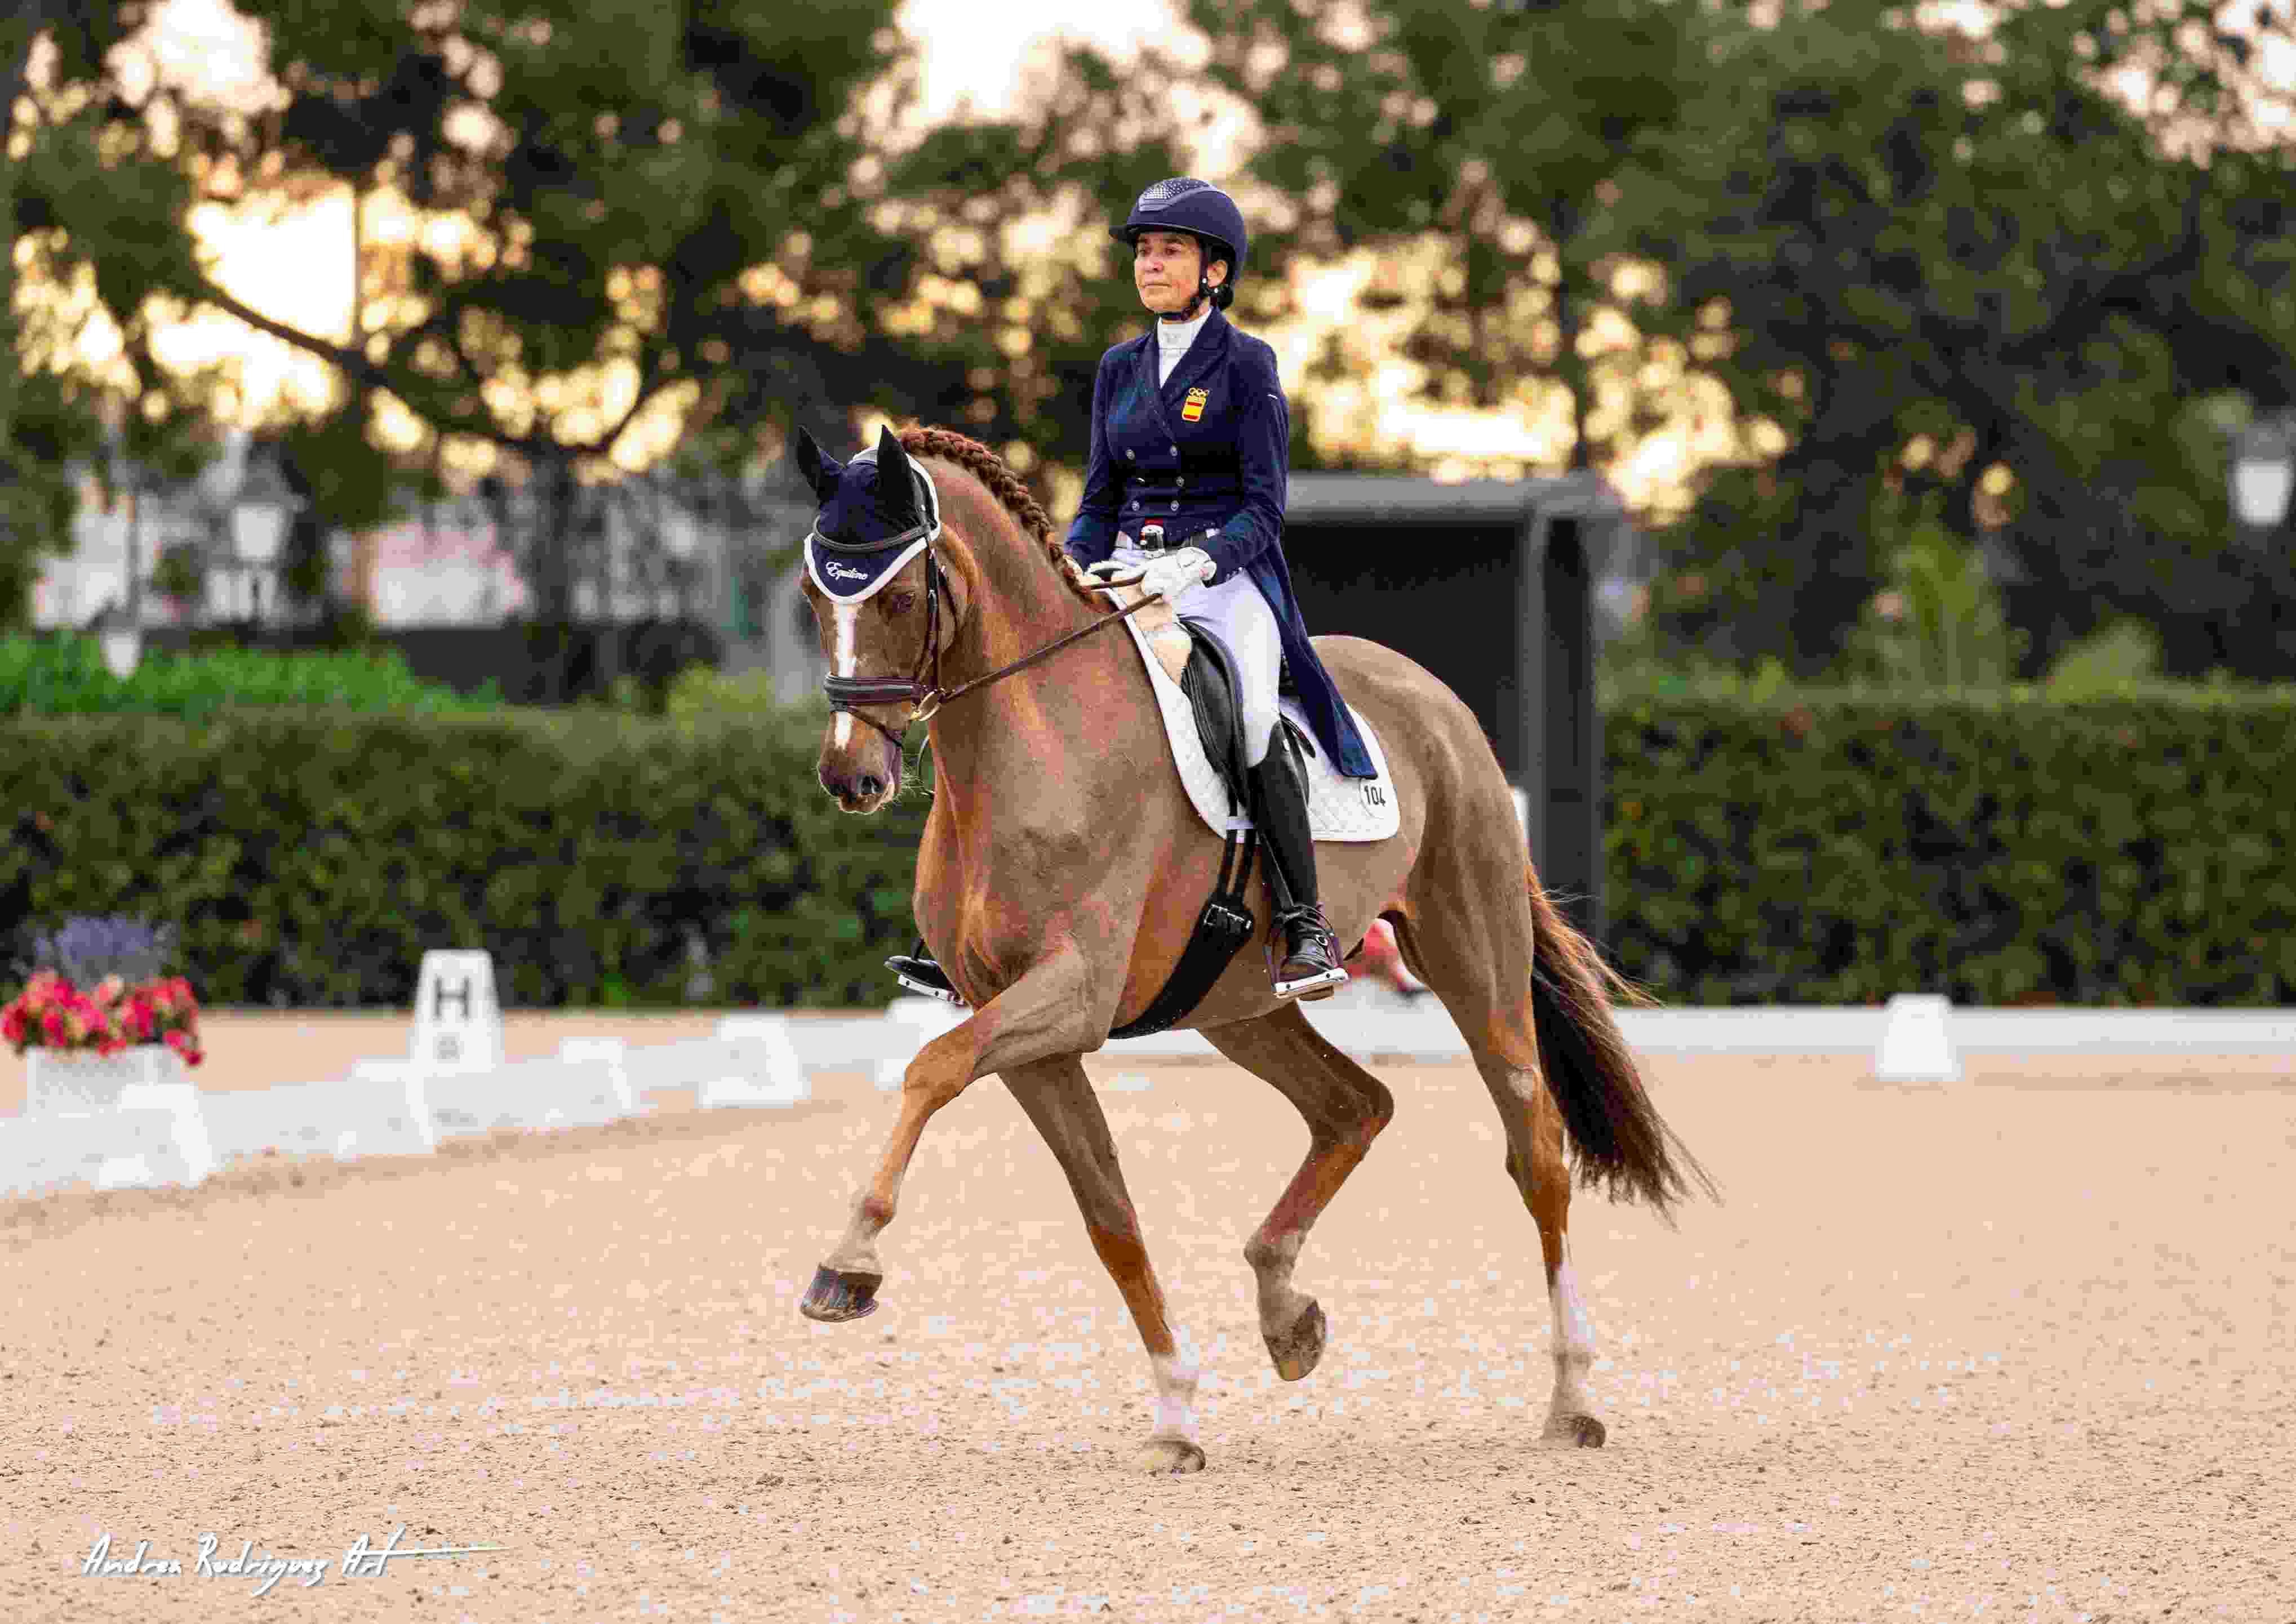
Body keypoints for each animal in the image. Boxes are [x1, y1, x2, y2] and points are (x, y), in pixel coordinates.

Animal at [789, 422, 1708, 1470]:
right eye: (815, 595)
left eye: (899, 595)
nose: (852, 776)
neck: (1035, 747)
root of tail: (1433, 697)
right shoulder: (1027, 1031)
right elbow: (1108, 1214)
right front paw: (1176, 1411)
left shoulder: (1072, 993)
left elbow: (930, 1068)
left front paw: (847, 1264)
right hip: (1239, 1004)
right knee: (1355, 1105)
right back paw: (1286, 1313)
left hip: (1475, 966)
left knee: (1536, 1150)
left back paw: (1573, 1395)